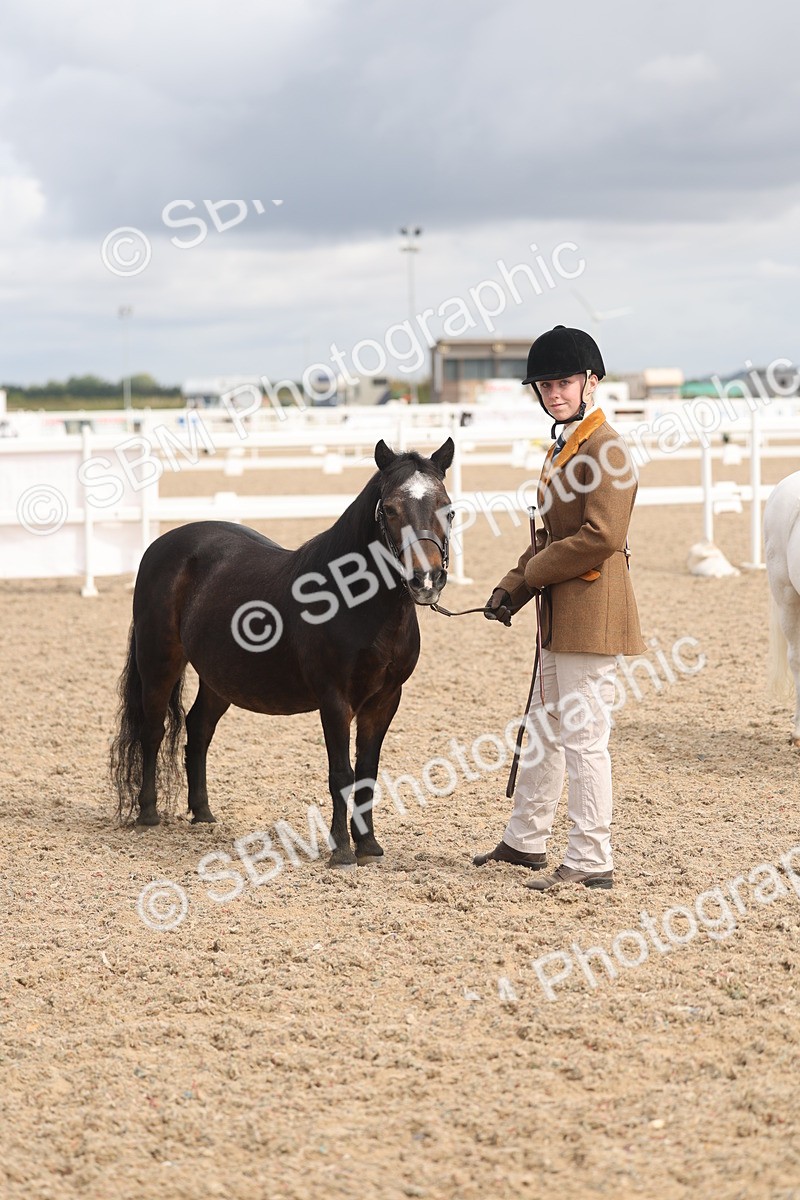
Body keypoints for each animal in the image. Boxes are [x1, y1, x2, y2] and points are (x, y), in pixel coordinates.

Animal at [111, 437, 455, 867]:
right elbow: (341, 774)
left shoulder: (385, 700)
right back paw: (148, 814)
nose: (426, 579)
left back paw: (203, 813)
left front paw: (369, 845)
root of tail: (162, 545)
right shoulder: (334, 700)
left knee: (199, 728)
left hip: (219, 679)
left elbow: (367, 772)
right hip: (159, 662)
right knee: (153, 730)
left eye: (448, 507)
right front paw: (342, 850)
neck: (355, 601)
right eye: (390, 509)